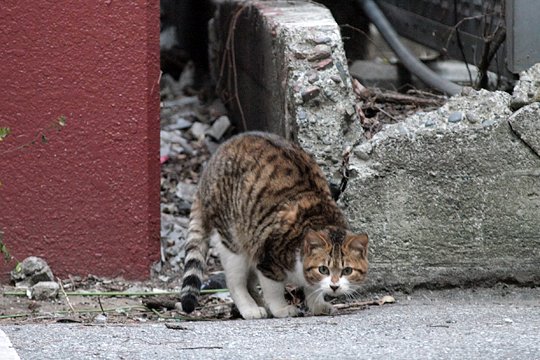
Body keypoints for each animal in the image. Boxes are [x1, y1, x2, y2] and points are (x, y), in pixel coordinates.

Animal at [179, 131, 370, 318]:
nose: (334, 286)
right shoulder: (267, 259)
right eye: (324, 269)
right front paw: (281, 309)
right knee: (236, 282)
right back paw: (251, 309)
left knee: (249, 282)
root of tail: (208, 169)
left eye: (347, 271)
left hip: (251, 242)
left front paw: (318, 305)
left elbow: (312, 289)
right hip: (233, 241)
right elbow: (274, 290)